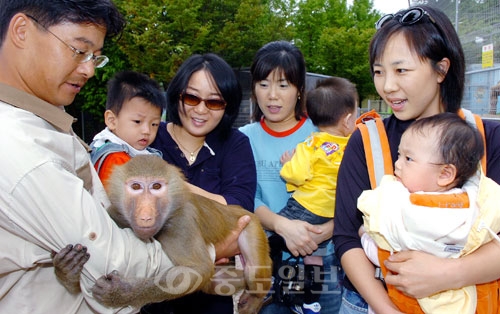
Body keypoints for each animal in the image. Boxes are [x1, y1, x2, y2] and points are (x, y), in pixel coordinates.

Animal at [55, 155, 272, 314]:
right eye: (136, 187)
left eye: (156, 187)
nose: (145, 214)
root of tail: (236, 210)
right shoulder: (115, 215)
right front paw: (67, 271)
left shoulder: (181, 223)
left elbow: (197, 269)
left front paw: (123, 292)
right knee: (218, 282)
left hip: (251, 226)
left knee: (253, 272)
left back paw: (256, 298)